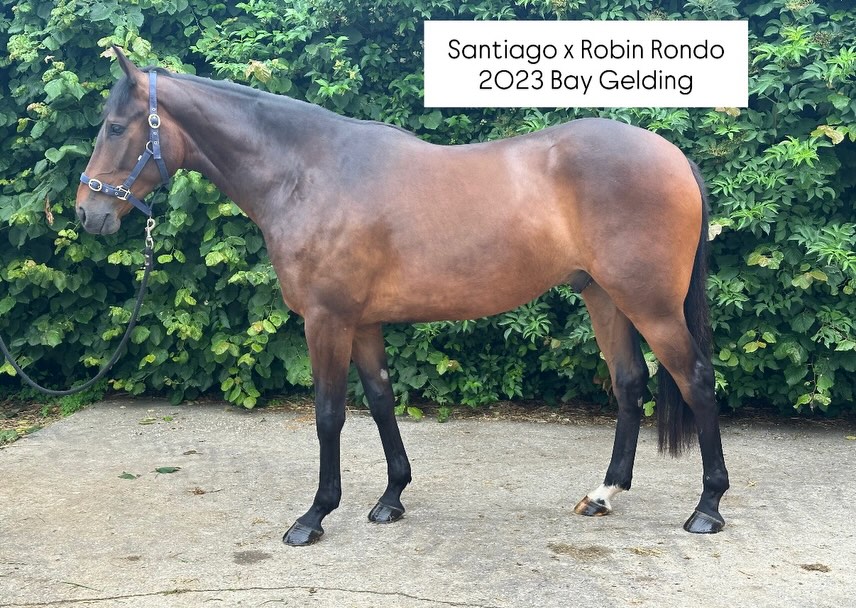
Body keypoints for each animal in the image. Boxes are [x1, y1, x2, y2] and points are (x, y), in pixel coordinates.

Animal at [76, 47, 729, 546]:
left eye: (115, 127)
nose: (87, 213)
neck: (308, 173)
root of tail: (672, 155)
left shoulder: (327, 321)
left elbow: (329, 413)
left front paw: (313, 517)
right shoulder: (362, 323)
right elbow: (382, 400)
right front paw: (391, 498)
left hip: (650, 306)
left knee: (696, 378)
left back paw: (707, 509)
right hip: (604, 297)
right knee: (629, 383)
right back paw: (604, 494)